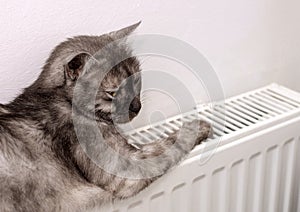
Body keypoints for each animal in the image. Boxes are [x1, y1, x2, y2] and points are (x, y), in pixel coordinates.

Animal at [0, 22, 211, 211]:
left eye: (136, 80)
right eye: (112, 93)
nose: (136, 106)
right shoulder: (126, 167)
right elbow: (165, 145)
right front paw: (197, 126)